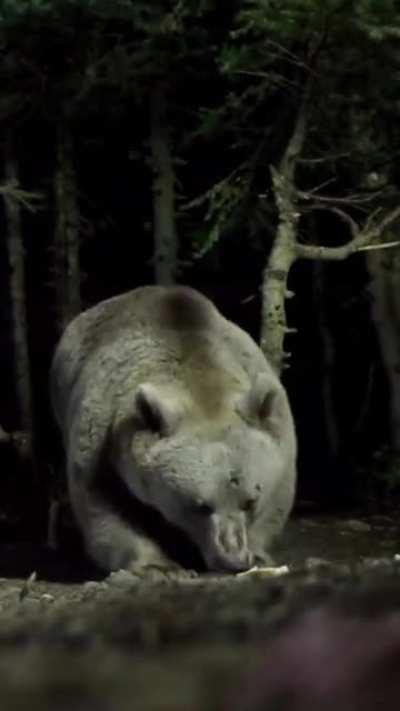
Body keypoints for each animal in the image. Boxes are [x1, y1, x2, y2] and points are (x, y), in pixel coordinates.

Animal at [50, 286, 297, 574]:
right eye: (200, 506)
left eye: (250, 501)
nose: (232, 559)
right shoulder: (103, 439)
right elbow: (104, 505)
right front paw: (157, 565)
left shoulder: (279, 437)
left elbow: (277, 499)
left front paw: (258, 554)